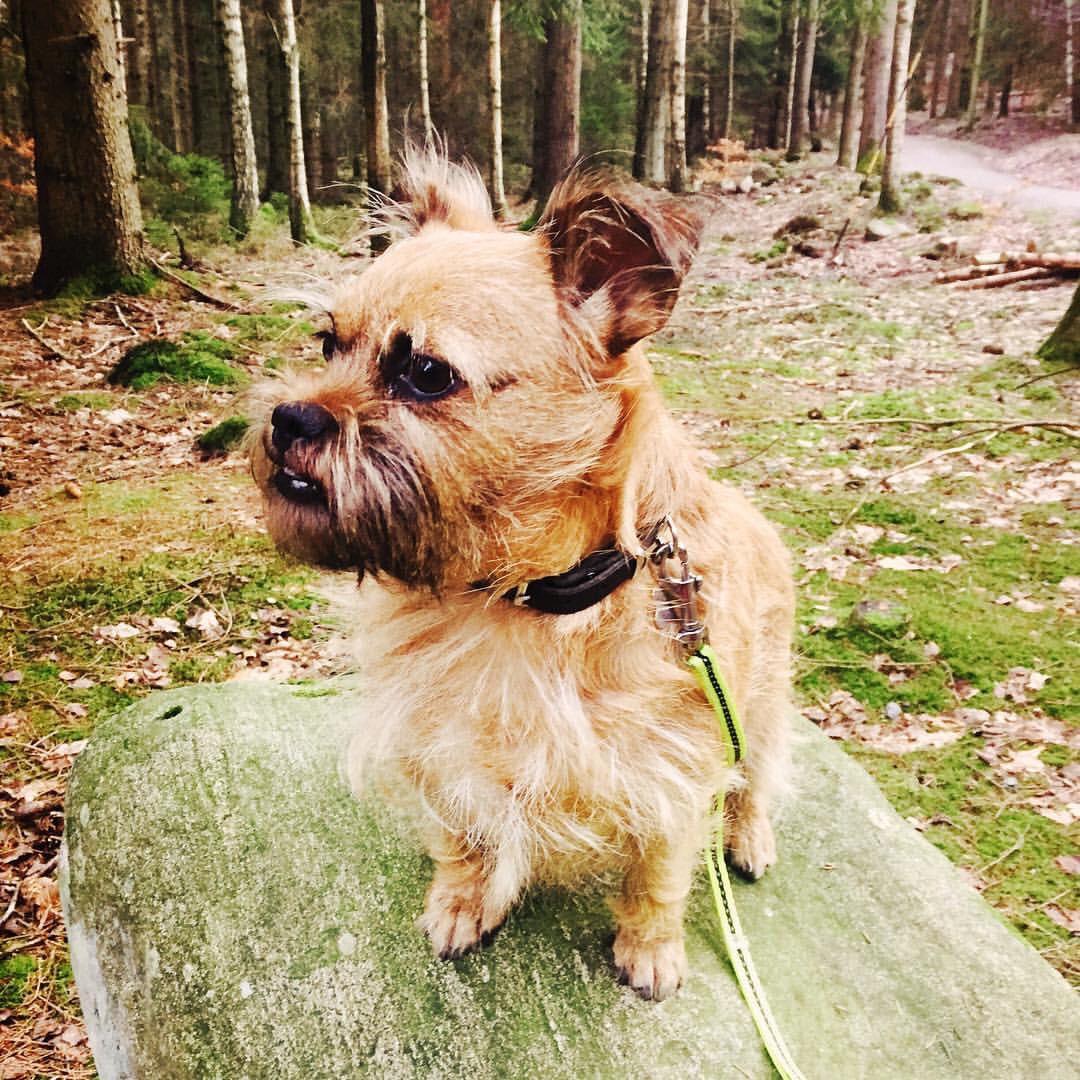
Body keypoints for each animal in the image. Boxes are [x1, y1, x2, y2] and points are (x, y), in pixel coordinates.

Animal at [250, 151, 794, 1001]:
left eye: (426, 373)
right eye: (328, 343)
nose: (288, 418)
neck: (521, 597)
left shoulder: (677, 769)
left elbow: (659, 873)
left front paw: (651, 947)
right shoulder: (442, 742)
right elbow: (465, 835)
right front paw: (462, 900)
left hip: (760, 707)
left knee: (758, 780)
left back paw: (750, 838)